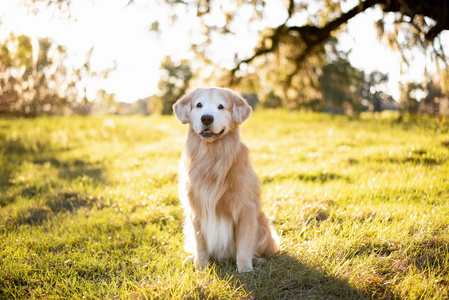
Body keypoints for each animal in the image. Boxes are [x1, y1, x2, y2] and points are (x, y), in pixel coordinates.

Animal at [173, 86, 278, 272]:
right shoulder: (195, 209)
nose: (207, 118)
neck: (212, 155)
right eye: (198, 105)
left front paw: (245, 268)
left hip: (263, 225)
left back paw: (258, 260)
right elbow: (201, 244)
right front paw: (200, 266)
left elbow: (244, 243)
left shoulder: (245, 208)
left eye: (221, 106)